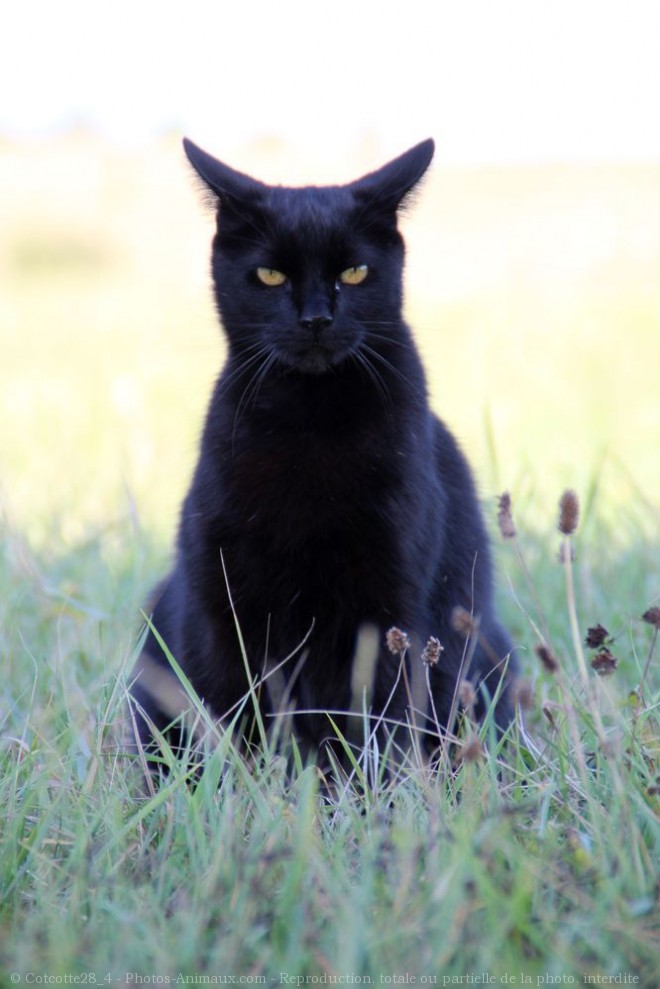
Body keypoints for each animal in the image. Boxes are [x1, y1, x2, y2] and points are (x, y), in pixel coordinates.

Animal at [129, 139, 520, 768]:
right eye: (269, 275)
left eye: (354, 273)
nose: (315, 318)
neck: (309, 425)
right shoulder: (224, 602)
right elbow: (234, 713)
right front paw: (247, 786)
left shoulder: (390, 609)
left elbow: (379, 722)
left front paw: (370, 788)